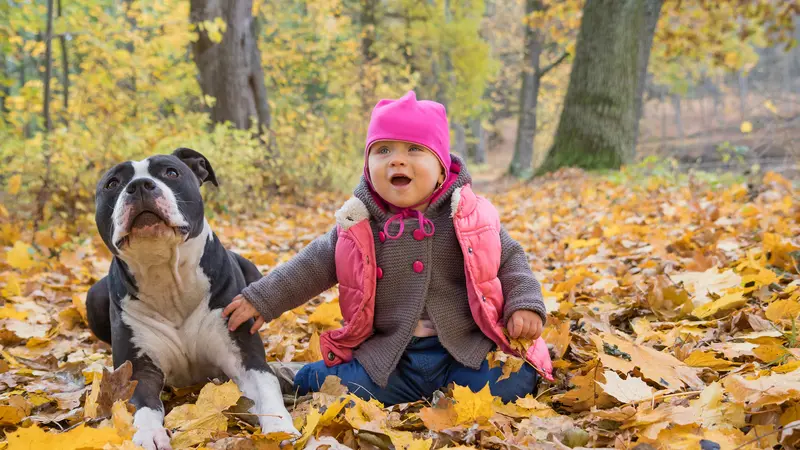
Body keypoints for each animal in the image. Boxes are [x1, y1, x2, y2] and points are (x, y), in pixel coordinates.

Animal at [86, 149, 300, 450]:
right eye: (112, 184)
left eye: (171, 172)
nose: (139, 185)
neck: (166, 276)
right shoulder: (138, 371)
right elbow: (142, 405)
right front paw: (148, 433)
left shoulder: (246, 358)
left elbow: (267, 389)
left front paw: (279, 429)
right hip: (93, 297)